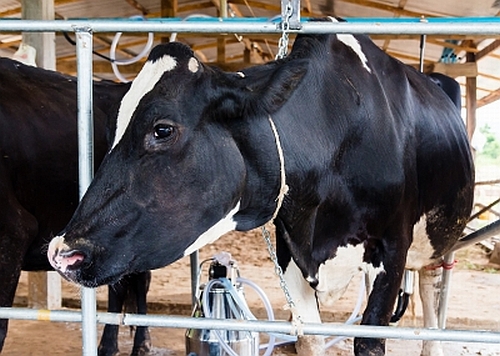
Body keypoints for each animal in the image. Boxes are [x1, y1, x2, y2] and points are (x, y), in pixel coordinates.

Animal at [46, 18, 472, 356]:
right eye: (109, 128)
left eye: (162, 129)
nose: (63, 252)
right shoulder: (291, 250)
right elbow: (310, 337)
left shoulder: (394, 244)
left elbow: (369, 341)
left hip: (439, 243)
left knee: (432, 306)